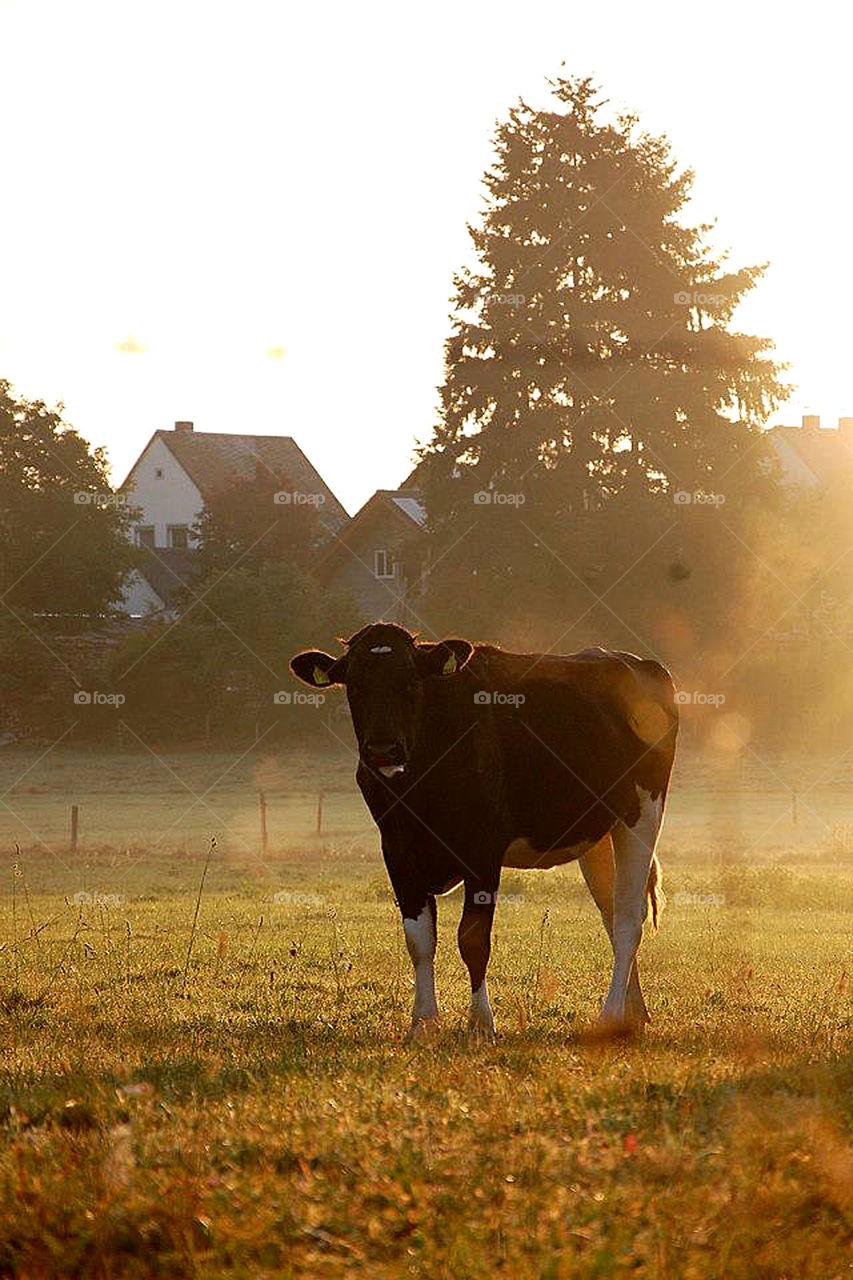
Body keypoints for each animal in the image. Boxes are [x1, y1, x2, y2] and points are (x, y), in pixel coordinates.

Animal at [290, 622, 678, 1042]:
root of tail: (635, 661)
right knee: (612, 912)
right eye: (355, 683)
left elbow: (473, 939)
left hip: (642, 812)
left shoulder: (483, 849)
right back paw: (633, 1013)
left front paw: (480, 1024)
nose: (383, 749)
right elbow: (419, 940)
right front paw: (423, 1023)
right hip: (597, 834)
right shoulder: (396, 849)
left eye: (411, 681)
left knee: (628, 918)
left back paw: (610, 1015)